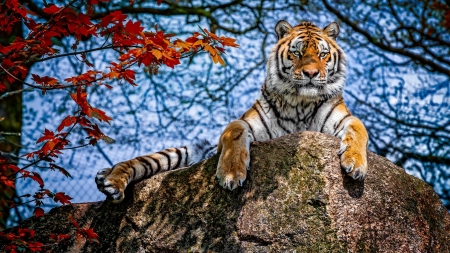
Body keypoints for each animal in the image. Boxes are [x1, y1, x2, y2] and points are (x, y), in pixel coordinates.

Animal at [96, 20, 370, 204]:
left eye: (323, 54)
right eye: (297, 52)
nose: (311, 73)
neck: (300, 102)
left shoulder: (344, 119)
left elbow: (359, 130)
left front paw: (356, 164)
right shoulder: (247, 124)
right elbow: (234, 132)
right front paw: (230, 174)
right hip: (175, 154)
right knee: (137, 162)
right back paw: (110, 180)